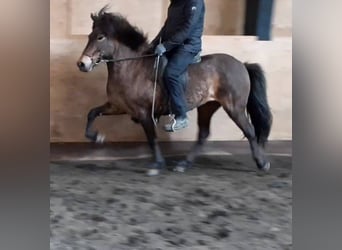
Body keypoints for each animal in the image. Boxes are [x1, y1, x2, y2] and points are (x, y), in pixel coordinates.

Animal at [76, 7, 272, 176]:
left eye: (100, 37)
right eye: (90, 36)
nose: (82, 64)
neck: (132, 67)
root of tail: (242, 65)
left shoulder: (144, 112)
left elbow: (152, 138)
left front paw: (157, 164)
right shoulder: (117, 106)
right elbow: (91, 113)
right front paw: (97, 137)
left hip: (234, 107)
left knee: (250, 131)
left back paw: (262, 163)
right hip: (207, 106)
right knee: (203, 135)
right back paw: (184, 164)